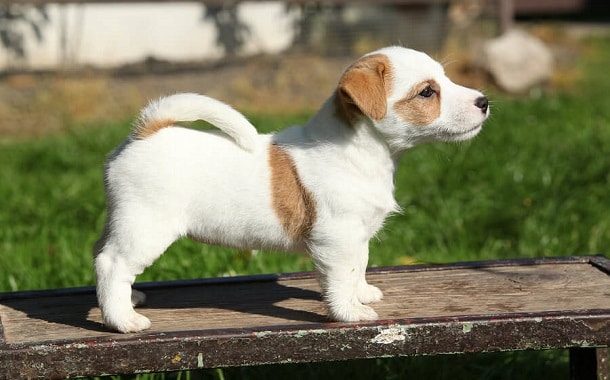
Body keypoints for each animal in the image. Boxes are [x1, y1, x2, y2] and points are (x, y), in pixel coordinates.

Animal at [92, 46, 486, 332]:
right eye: (427, 92)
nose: (484, 101)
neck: (361, 152)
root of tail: (146, 132)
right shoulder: (336, 238)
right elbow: (340, 278)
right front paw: (349, 312)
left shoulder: (357, 236)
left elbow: (359, 266)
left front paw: (362, 294)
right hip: (146, 228)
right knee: (112, 264)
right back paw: (123, 320)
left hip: (122, 222)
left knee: (102, 256)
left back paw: (130, 299)